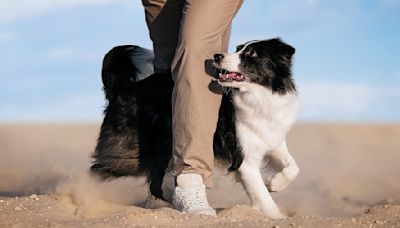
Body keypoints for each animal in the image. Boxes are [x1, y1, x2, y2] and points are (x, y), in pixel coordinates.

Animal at [90, 38, 296, 218]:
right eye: (238, 48)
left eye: (251, 53)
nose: (217, 56)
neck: (260, 95)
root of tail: (122, 90)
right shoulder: (244, 159)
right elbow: (261, 193)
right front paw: (275, 215)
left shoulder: (272, 139)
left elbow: (293, 167)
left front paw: (275, 183)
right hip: (136, 151)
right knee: (99, 169)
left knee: (154, 179)